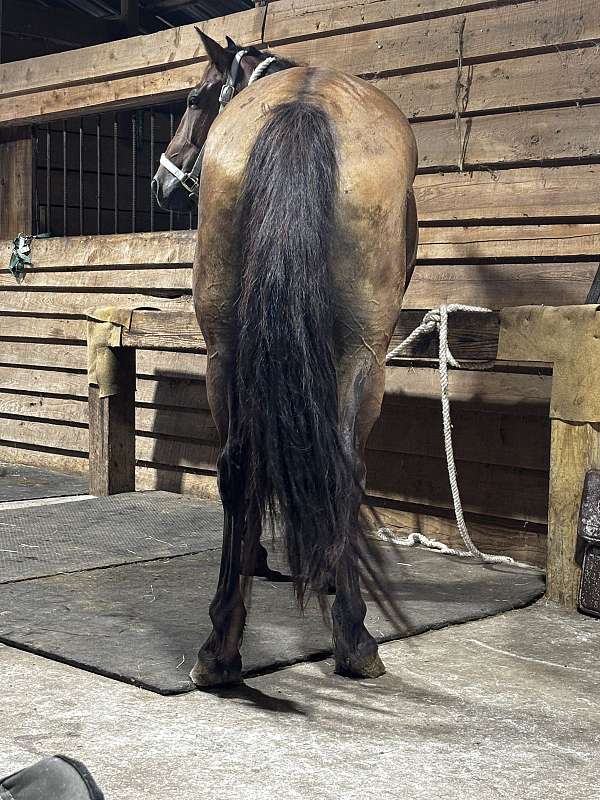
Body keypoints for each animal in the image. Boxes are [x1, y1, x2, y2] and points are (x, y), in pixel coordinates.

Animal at [152, 29, 418, 688]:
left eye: (194, 99)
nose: (161, 186)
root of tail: (303, 107)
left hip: (224, 351)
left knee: (237, 464)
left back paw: (220, 646)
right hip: (363, 357)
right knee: (345, 468)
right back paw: (354, 638)